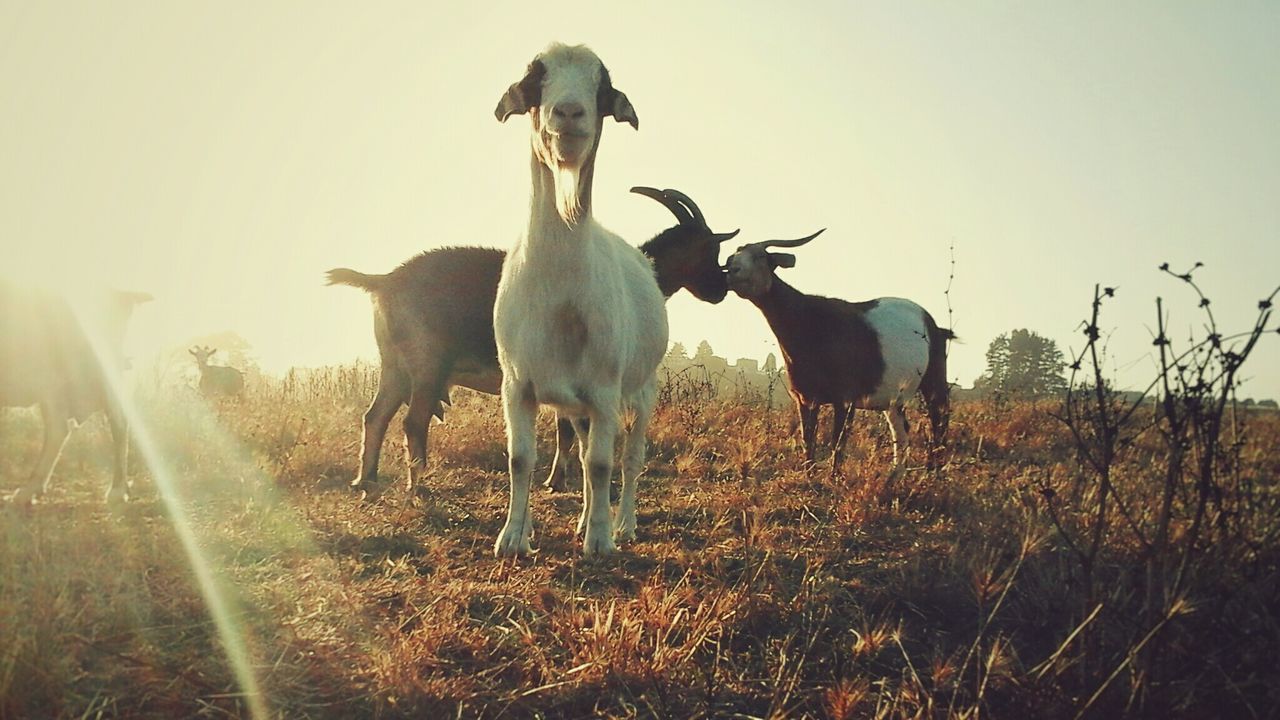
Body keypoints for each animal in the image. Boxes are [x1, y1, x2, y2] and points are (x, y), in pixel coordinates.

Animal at [491, 43, 665, 556]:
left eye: (601, 87)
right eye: (536, 80)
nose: (568, 112)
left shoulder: (605, 390)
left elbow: (603, 465)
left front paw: (601, 542)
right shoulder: (517, 384)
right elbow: (521, 459)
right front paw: (513, 536)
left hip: (642, 389)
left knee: (628, 458)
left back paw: (621, 523)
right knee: (589, 455)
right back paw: (587, 517)